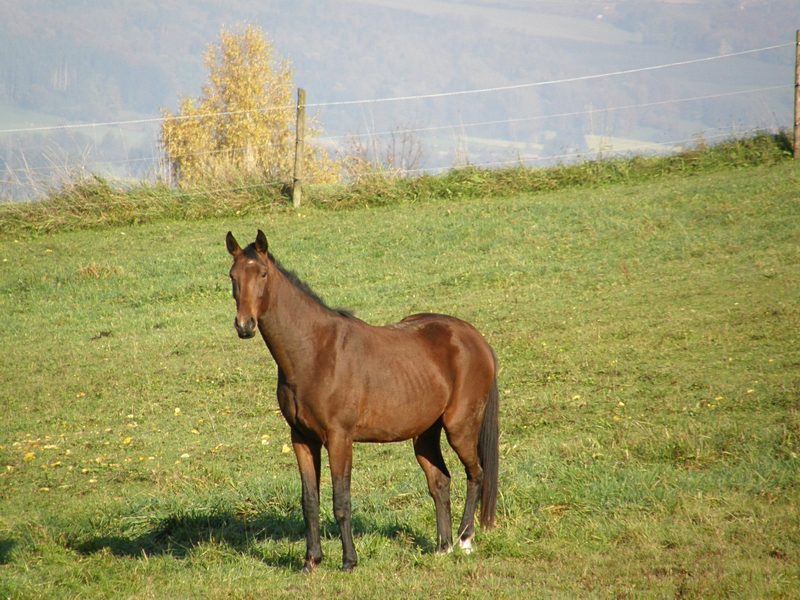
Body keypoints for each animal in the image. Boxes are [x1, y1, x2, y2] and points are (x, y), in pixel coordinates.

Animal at [227, 229, 500, 572]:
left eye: (262, 274)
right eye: (233, 276)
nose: (244, 325)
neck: (315, 350)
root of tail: (475, 338)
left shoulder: (339, 438)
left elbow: (341, 500)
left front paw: (348, 561)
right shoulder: (302, 438)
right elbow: (310, 500)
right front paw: (311, 561)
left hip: (460, 427)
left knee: (475, 475)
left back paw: (465, 541)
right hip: (425, 434)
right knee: (440, 482)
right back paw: (443, 547)